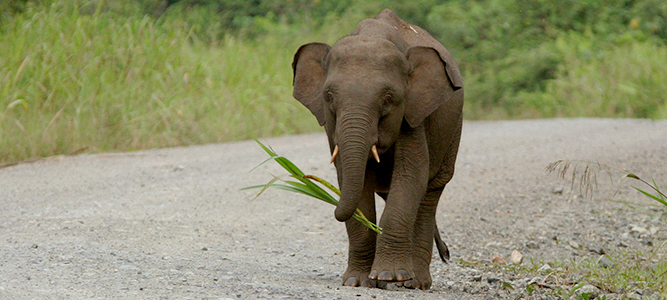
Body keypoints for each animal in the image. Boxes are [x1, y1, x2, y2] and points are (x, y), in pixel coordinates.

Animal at [292, 9, 464, 290]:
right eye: (329, 97)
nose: (448, 254)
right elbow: (352, 180)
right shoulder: (332, 127)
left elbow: (411, 177)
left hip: (452, 132)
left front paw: (388, 277)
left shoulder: (413, 115)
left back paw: (415, 282)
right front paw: (356, 281)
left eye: (388, 100)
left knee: (430, 193)